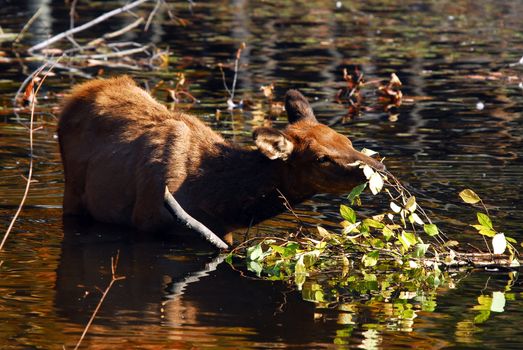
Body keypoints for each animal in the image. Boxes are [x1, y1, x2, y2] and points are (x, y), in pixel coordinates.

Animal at [58, 76, 384, 249]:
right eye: (321, 158)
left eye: (347, 141)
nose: (378, 166)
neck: (216, 201)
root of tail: (79, 91)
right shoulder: (145, 222)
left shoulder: (224, 233)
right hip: (72, 194)